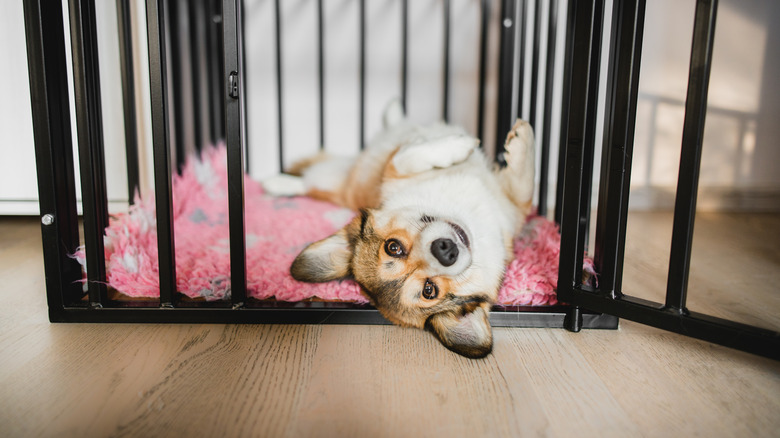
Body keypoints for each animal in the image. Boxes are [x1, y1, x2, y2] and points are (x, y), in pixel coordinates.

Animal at [266, 104, 532, 358]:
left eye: (393, 247)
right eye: (429, 290)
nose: (446, 252)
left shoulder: (512, 208)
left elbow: (523, 184)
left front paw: (514, 142)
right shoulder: (392, 171)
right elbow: (405, 156)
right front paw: (472, 145)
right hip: (332, 180)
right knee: (308, 184)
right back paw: (276, 183)